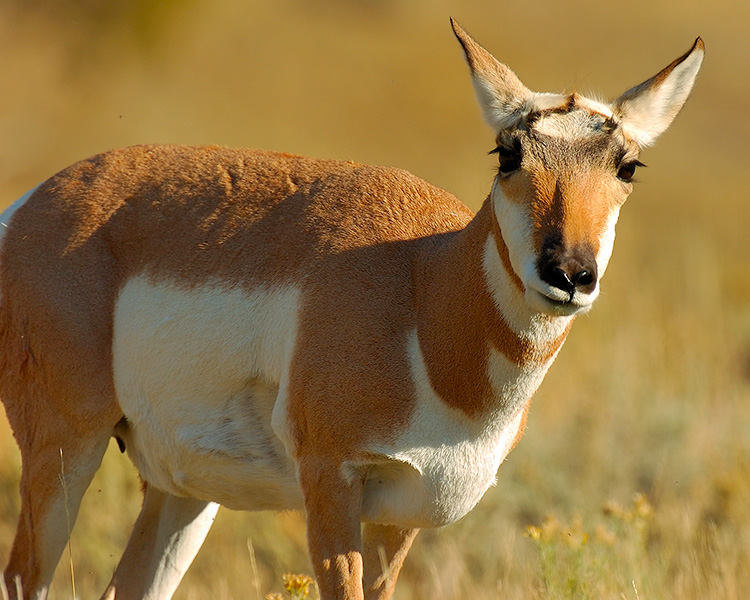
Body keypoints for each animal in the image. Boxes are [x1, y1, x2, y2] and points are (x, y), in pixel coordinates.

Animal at [0, 18, 704, 600]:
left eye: (628, 165)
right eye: (509, 153)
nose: (569, 274)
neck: (423, 284)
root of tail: (31, 207)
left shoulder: (398, 518)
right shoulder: (332, 483)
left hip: (180, 493)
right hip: (67, 450)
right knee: (23, 577)